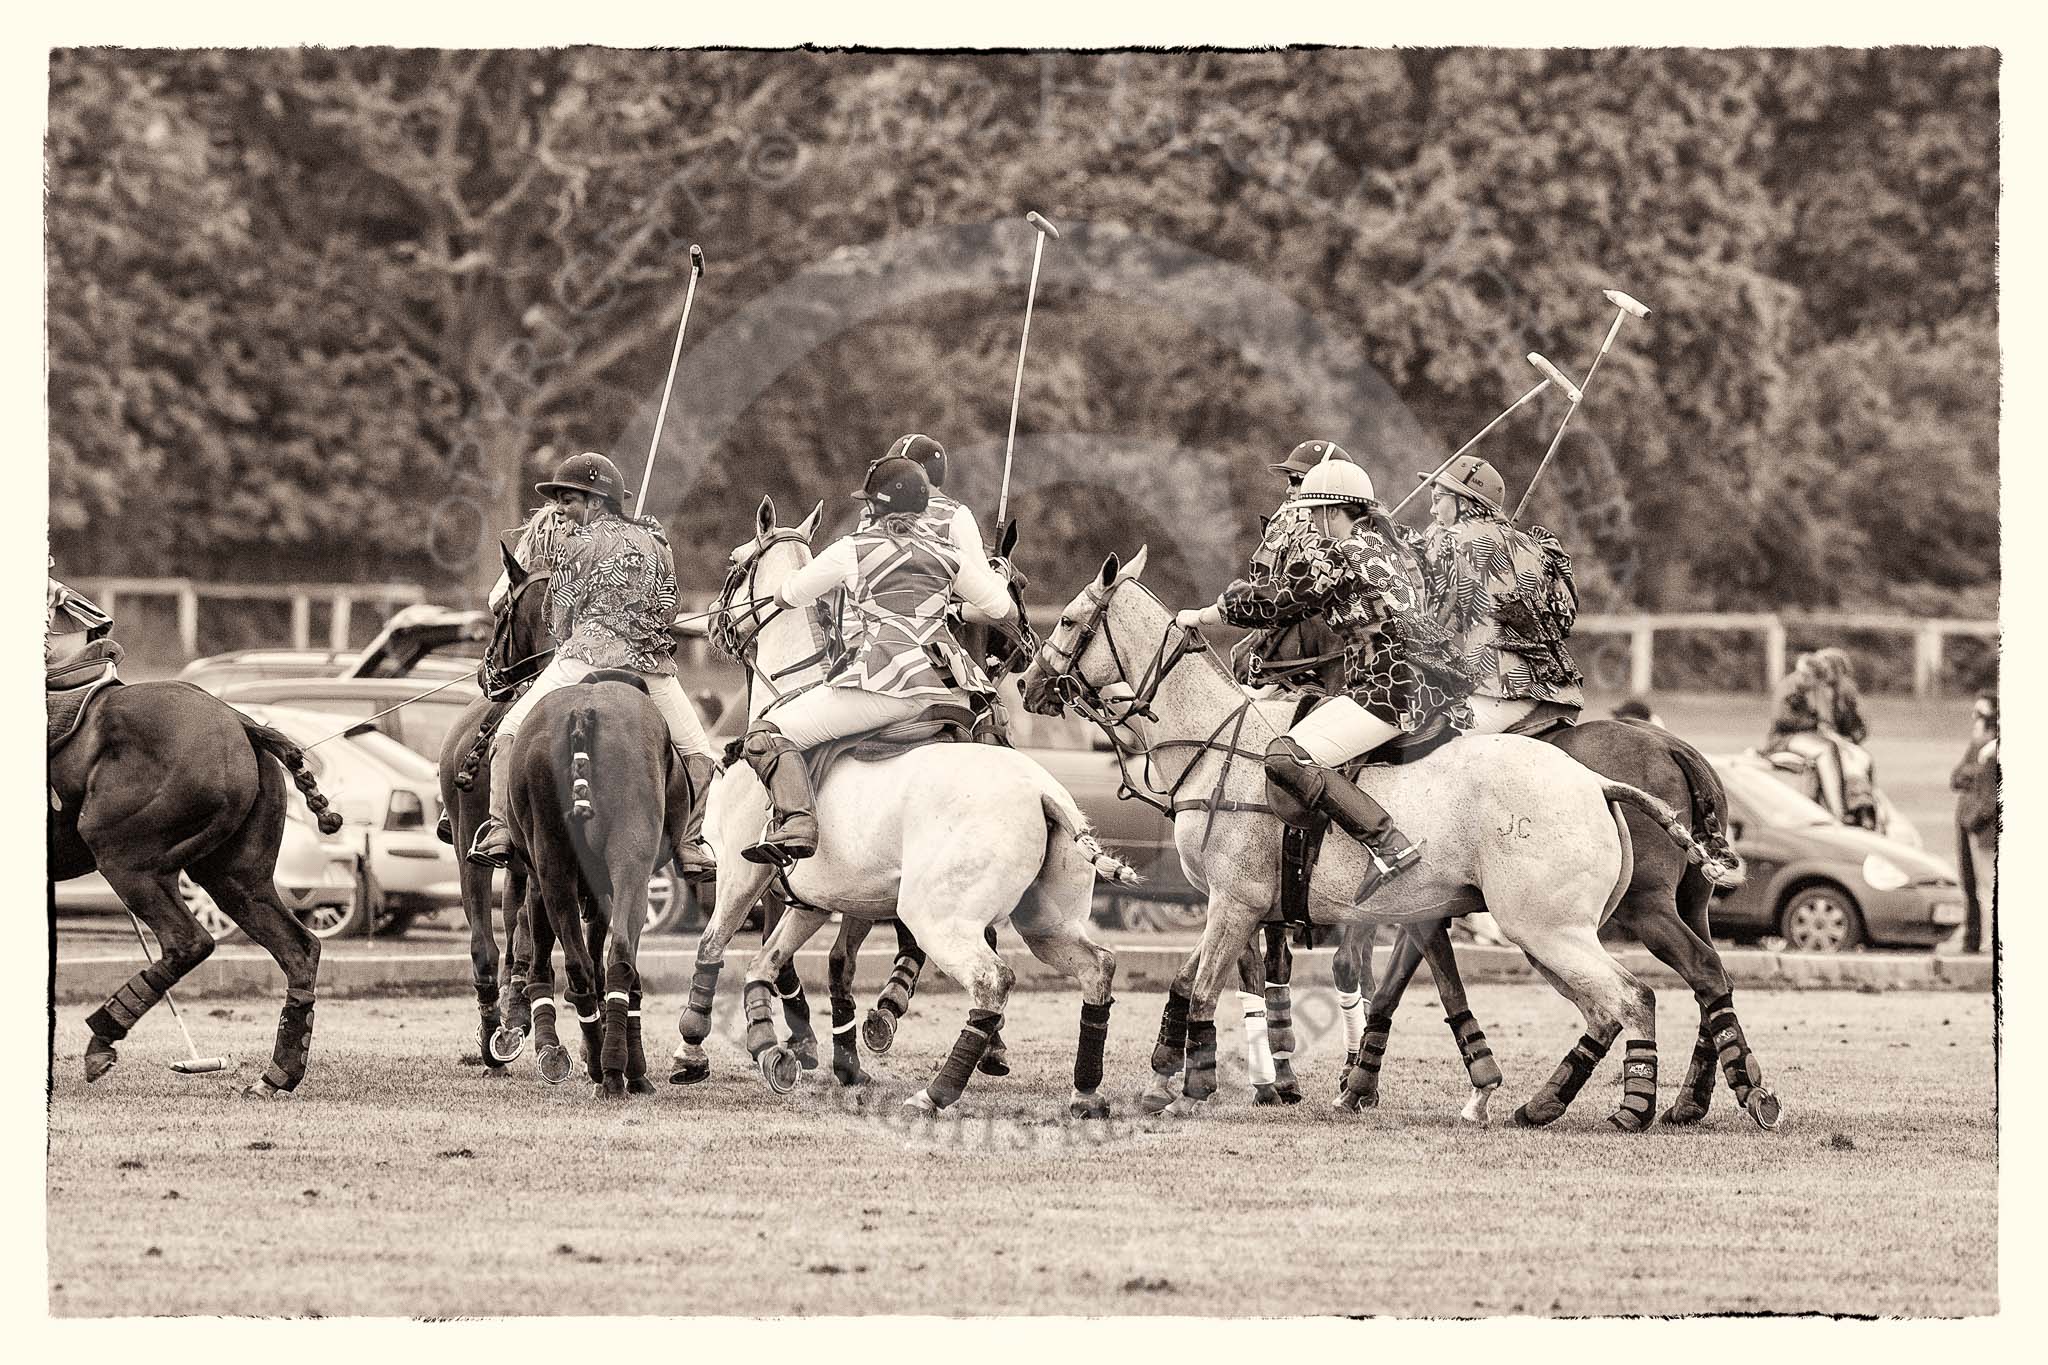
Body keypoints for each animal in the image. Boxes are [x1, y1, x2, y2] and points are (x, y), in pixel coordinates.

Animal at [48, 675, 348, 1096]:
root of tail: (240, 721)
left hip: (128, 859)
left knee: (189, 940)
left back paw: (103, 1037)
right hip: (237, 879)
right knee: (299, 948)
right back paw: (275, 1076)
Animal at [671, 497, 1130, 1113]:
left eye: (732, 562)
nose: (706, 628)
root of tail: (1043, 793)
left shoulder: (741, 874)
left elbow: (713, 947)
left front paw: (692, 1050)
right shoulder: (812, 897)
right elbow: (766, 963)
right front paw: (774, 1049)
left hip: (939, 912)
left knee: (993, 979)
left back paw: (936, 1093)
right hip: (1046, 919)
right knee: (1096, 966)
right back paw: (1084, 1093)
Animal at [1024, 552, 1728, 1129]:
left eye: (1068, 620)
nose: (1029, 685)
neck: (1214, 740)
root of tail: (1598, 784)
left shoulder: (1237, 900)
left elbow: (1203, 987)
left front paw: (1194, 1088)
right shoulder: (1249, 905)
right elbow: (1187, 981)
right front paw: (1168, 1080)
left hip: (1553, 925)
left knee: (1635, 996)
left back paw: (1635, 1107)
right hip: (1556, 930)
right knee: (1627, 1001)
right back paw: (1553, 1104)